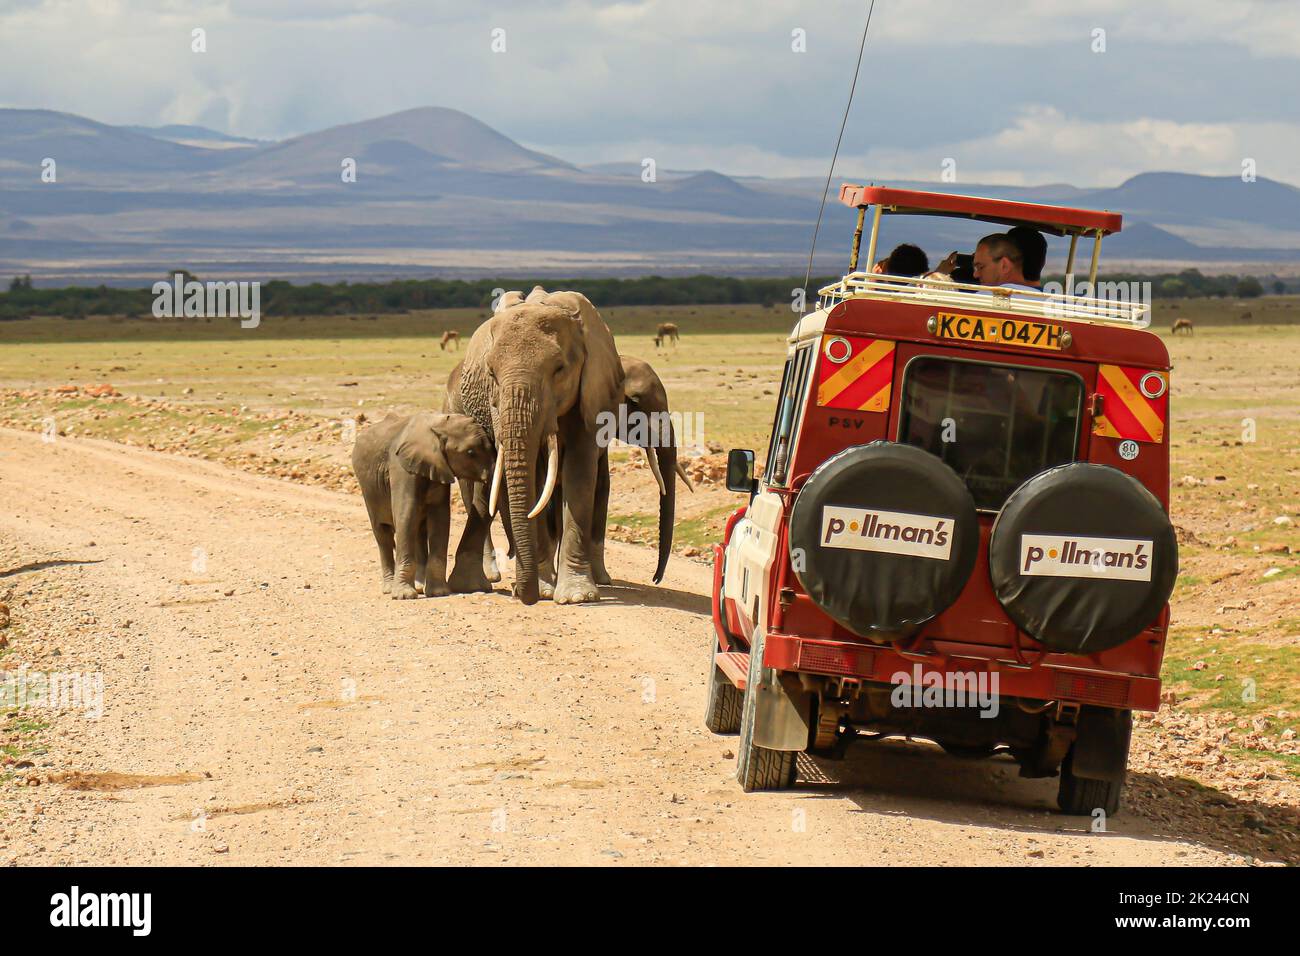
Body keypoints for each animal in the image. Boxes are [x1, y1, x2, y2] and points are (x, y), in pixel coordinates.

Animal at [351, 411, 491, 598]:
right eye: (471, 452)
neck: (437, 425)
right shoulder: (401, 467)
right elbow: (406, 513)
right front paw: (404, 596)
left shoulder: (438, 466)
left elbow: (440, 517)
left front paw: (439, 593)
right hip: (368, 490)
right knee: (383, 534)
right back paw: (389, 589)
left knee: (417, 529)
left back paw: (419, 586)